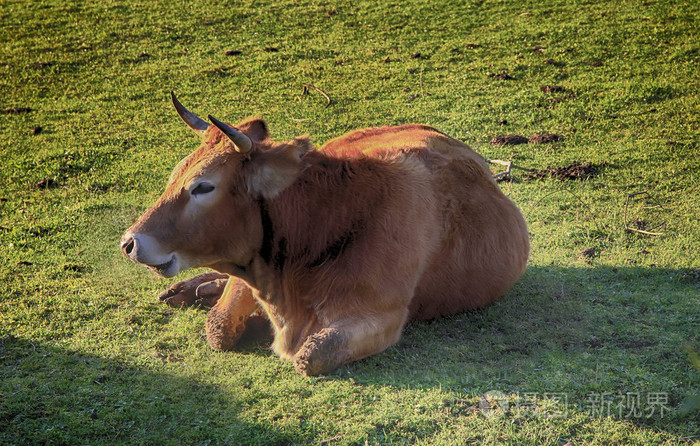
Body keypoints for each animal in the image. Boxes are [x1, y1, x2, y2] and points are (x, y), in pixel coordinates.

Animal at [123, 93, 528, 376]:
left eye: (203, 187)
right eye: (175, 174)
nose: (129, 242)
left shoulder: (383, 317)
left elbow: (312, 354)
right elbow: (220, 327)